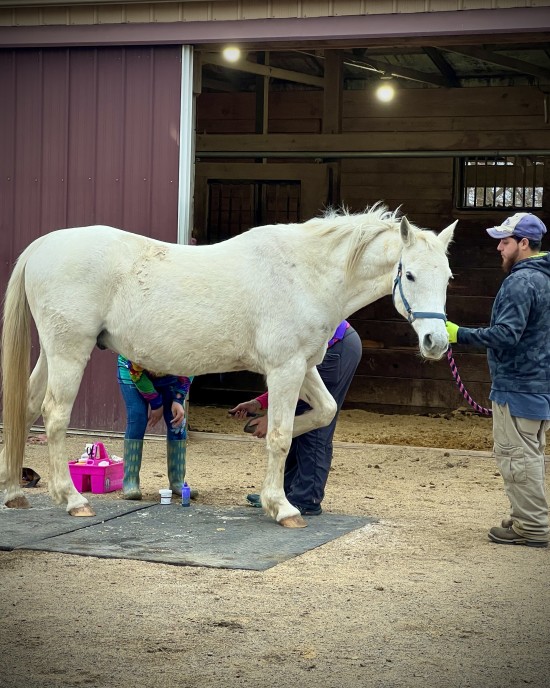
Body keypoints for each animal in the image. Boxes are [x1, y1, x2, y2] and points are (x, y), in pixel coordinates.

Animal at [0, 204, 455, 528]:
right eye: (410, 275)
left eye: (448, 276)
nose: (435, 342)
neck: (306, 272)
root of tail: (42, 246)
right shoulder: (286, 369)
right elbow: (281, 437)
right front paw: (282, 507)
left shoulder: (303, 367)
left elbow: (323, 412)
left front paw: (257, 430)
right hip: (69, 351)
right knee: (54, 416)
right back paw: (72, 500)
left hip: (52, 354)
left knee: (26, 408)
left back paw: (13, 493)